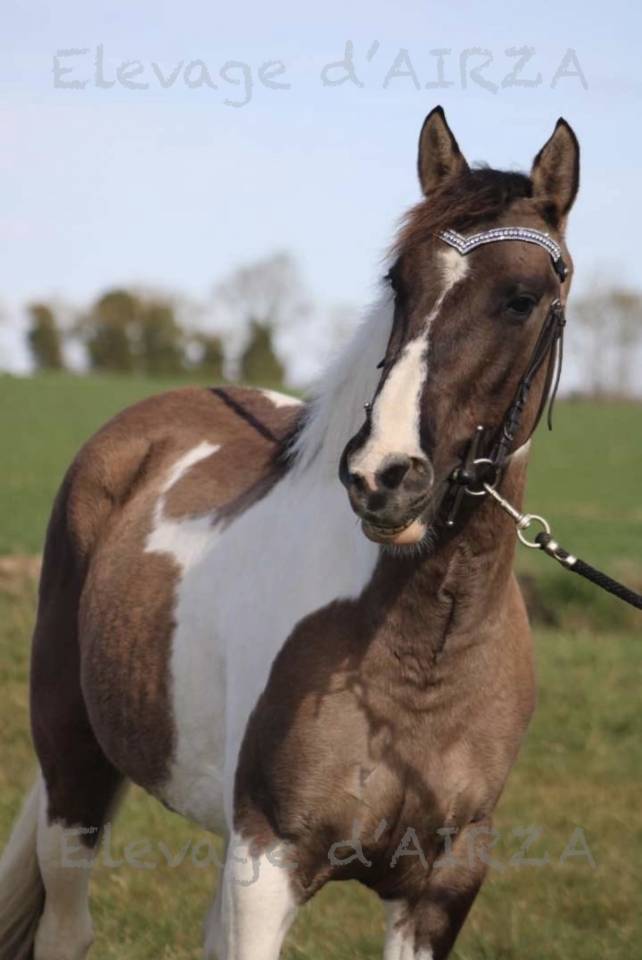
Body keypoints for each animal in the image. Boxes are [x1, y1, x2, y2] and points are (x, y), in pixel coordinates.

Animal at [0, 105, 579, 960]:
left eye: (523, 297)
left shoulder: (440, 888)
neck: (422, 656)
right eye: (399, 282)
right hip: (74, 763)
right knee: (67, 928)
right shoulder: (267, 860)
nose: (384, 475)